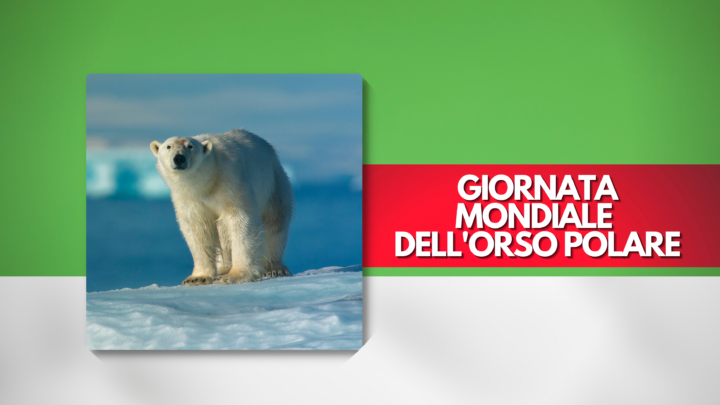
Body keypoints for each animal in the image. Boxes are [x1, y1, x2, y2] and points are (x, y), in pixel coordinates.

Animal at [150, 129, 294, 286]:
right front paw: (196, 278)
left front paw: (234, 275)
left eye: (190, 146)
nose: (179, 158)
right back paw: (222, 269)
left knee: (274, 224)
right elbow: (197, 228)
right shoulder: (189, 199)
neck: (207, 182)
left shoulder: (230, 180)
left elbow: (240, 219)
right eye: (168, 146)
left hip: (274, 184)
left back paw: (274, 268)